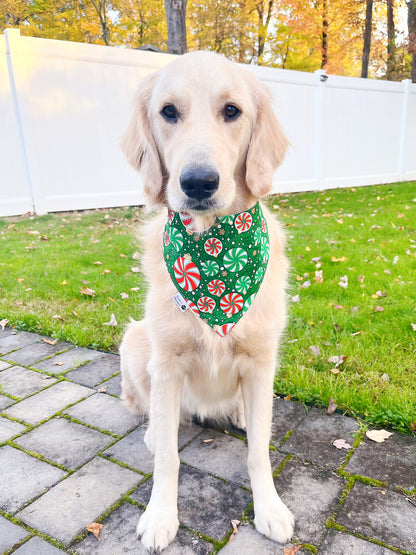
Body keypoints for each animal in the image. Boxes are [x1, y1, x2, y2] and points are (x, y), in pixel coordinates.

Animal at [120, 51, 294, 552]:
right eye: (168, 112)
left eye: (232, 111)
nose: (198, 183)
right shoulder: (168, 361)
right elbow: (169, 459)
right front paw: (161, 515)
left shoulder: (260, 360)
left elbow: (259, 452)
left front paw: (270, 508)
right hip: (136, 341)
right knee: (153, 411)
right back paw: (154, 432)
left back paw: (239, 413)